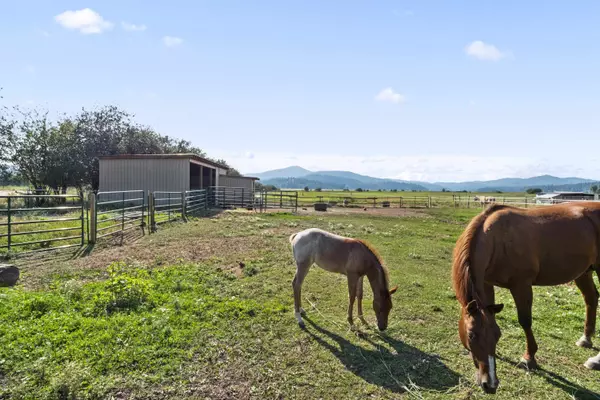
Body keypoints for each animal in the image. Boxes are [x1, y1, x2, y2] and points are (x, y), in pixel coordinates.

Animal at [452, 203, 600, 394]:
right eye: (471, 335)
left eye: (498, 335)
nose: (490, 384)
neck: (497, 239)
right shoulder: (486, 283)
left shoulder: (521, 285)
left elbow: (525, 321)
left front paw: (529, 358)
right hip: (584, 272)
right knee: (591, 298)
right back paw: (586, 339)